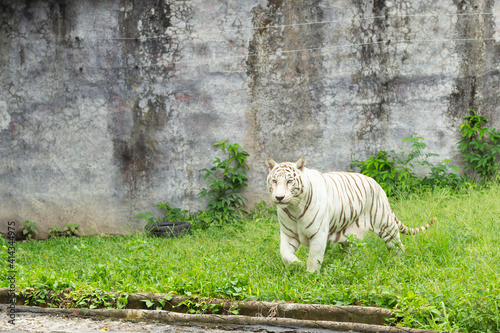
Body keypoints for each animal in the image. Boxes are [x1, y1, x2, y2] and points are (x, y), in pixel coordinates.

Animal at [266, 157, 434, 272]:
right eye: (274, 181)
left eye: (289, 181)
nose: (279, 197)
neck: (294, 209)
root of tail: (377, 184)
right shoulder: (288, 234)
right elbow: (285, 254)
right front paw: (297, 264)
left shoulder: (318, 234)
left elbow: (314, 258)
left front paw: (310, 275)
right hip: (351, 236)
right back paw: (349, 266)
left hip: (385, 224)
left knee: (397, 244)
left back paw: (399, 262)